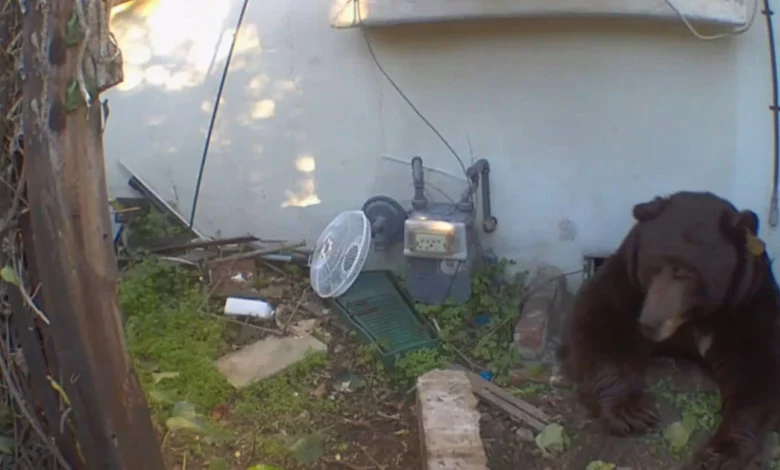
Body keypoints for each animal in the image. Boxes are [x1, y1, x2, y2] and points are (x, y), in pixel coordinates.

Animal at [558, 191, 780, 469]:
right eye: (652, 266)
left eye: (686, 272)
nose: (649, 323)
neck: (693, 318)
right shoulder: (628, 280)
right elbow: (599, 320)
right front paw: (631, 412)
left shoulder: (746, 304)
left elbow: (758, 367)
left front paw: (723, 452)